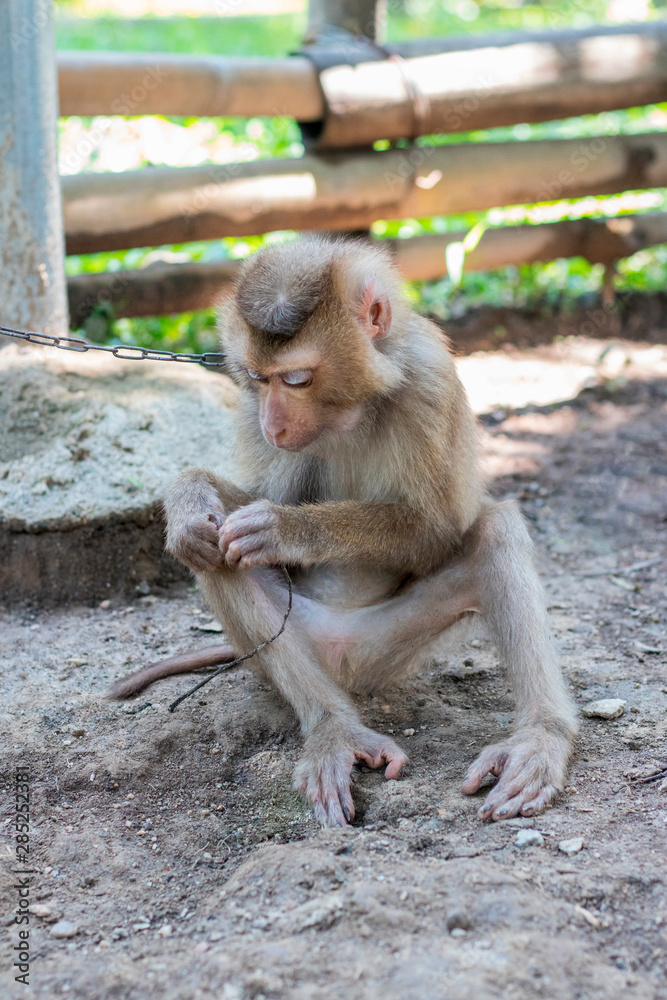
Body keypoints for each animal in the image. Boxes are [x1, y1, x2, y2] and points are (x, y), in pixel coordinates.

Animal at [111, 236, 580, 828]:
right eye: (258, 378)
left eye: (296, 378)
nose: (272, 424)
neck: (348, 410)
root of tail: (344, 660)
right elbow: (234, 514)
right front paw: (189, 502)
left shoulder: (430, 380)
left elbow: (437, 530)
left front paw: (285, 527)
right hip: (284, 649)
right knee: (218, 555)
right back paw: (334, 728)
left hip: (390, 647)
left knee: (496, 529)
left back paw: (539, 739)